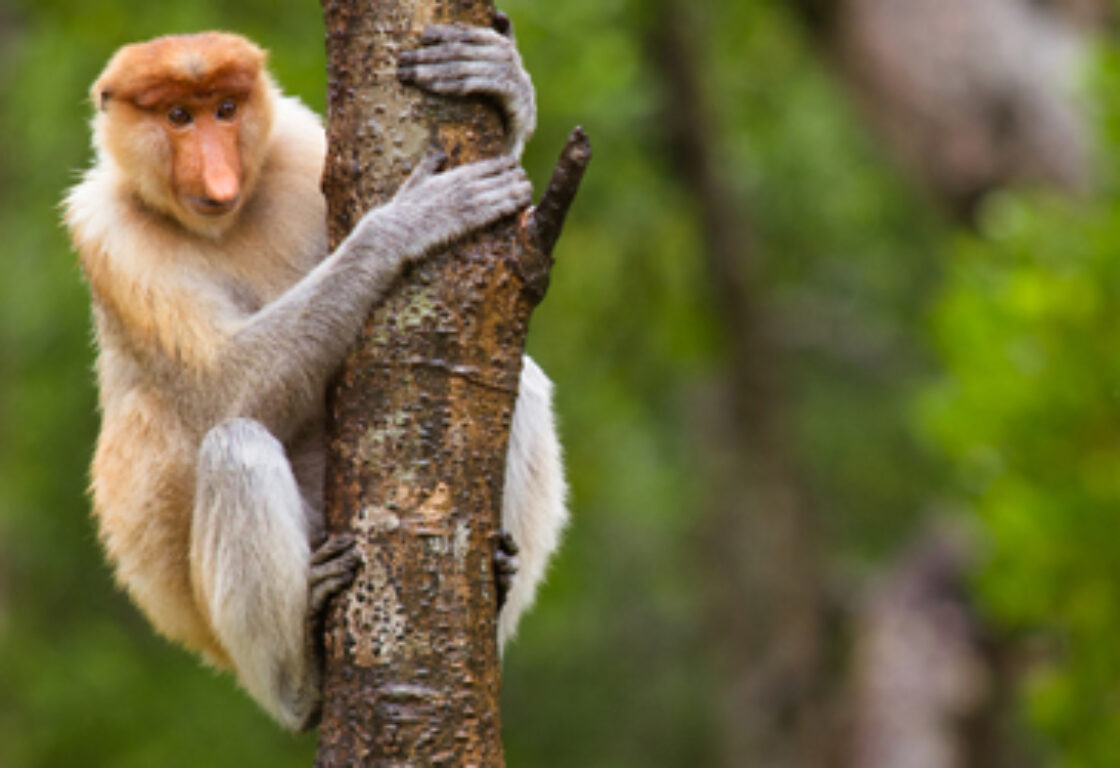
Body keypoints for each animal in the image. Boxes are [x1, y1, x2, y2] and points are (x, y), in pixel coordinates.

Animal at [63, 28, 568, 731]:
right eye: (178, 116)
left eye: (226, 109)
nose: (217, 175)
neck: (224, 224)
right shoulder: (110, 236)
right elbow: (222, 391)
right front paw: (405, 223)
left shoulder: (298, 145)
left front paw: (501, 78)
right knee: (234, 444)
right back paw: (303, 681)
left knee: (527, 383)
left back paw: (494, 586)